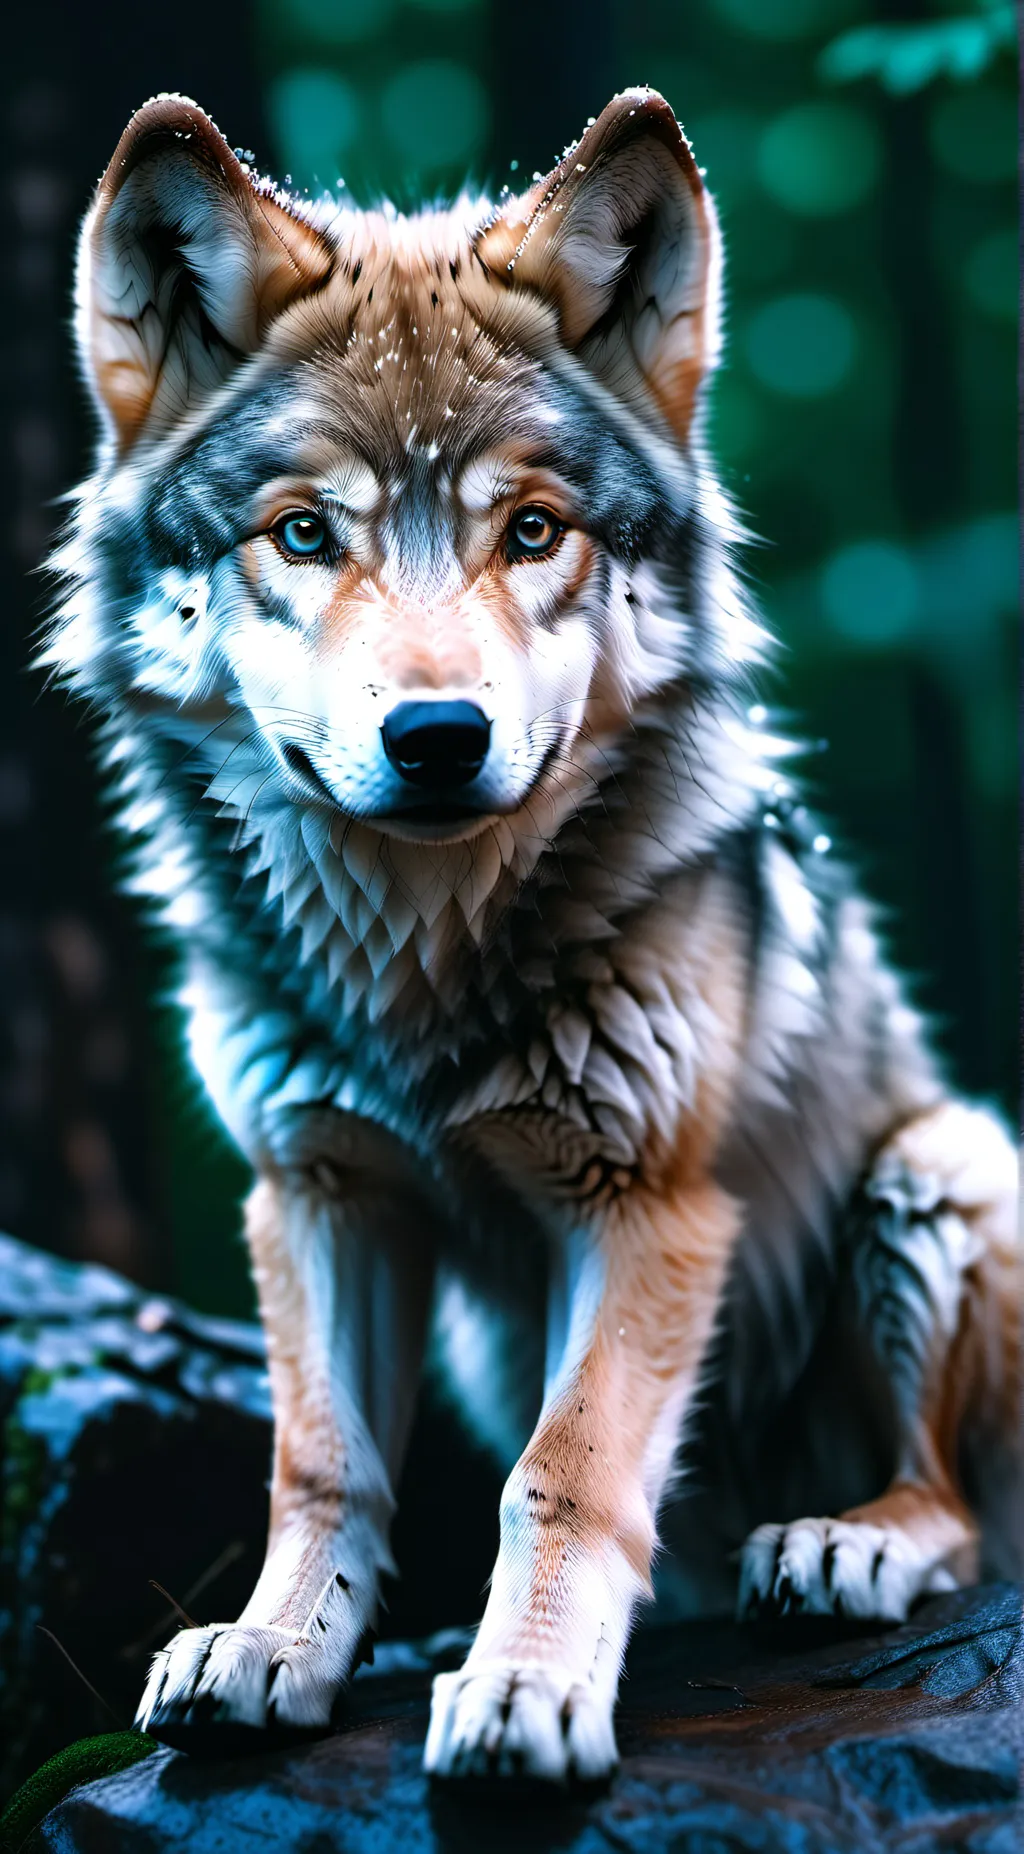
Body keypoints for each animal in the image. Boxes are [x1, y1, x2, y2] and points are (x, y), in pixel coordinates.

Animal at [47, 88, 1019, 1783]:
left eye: (533, 529)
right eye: (303, 533)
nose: (439, 736)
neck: (415, 962)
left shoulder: (646, 1206)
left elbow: (561, 1477)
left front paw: (525, 1689)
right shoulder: (319, 1189)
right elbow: (322, 1465)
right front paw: (272, 1646)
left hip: (941, 1169)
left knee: (954, 1512)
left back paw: (843, 1542)